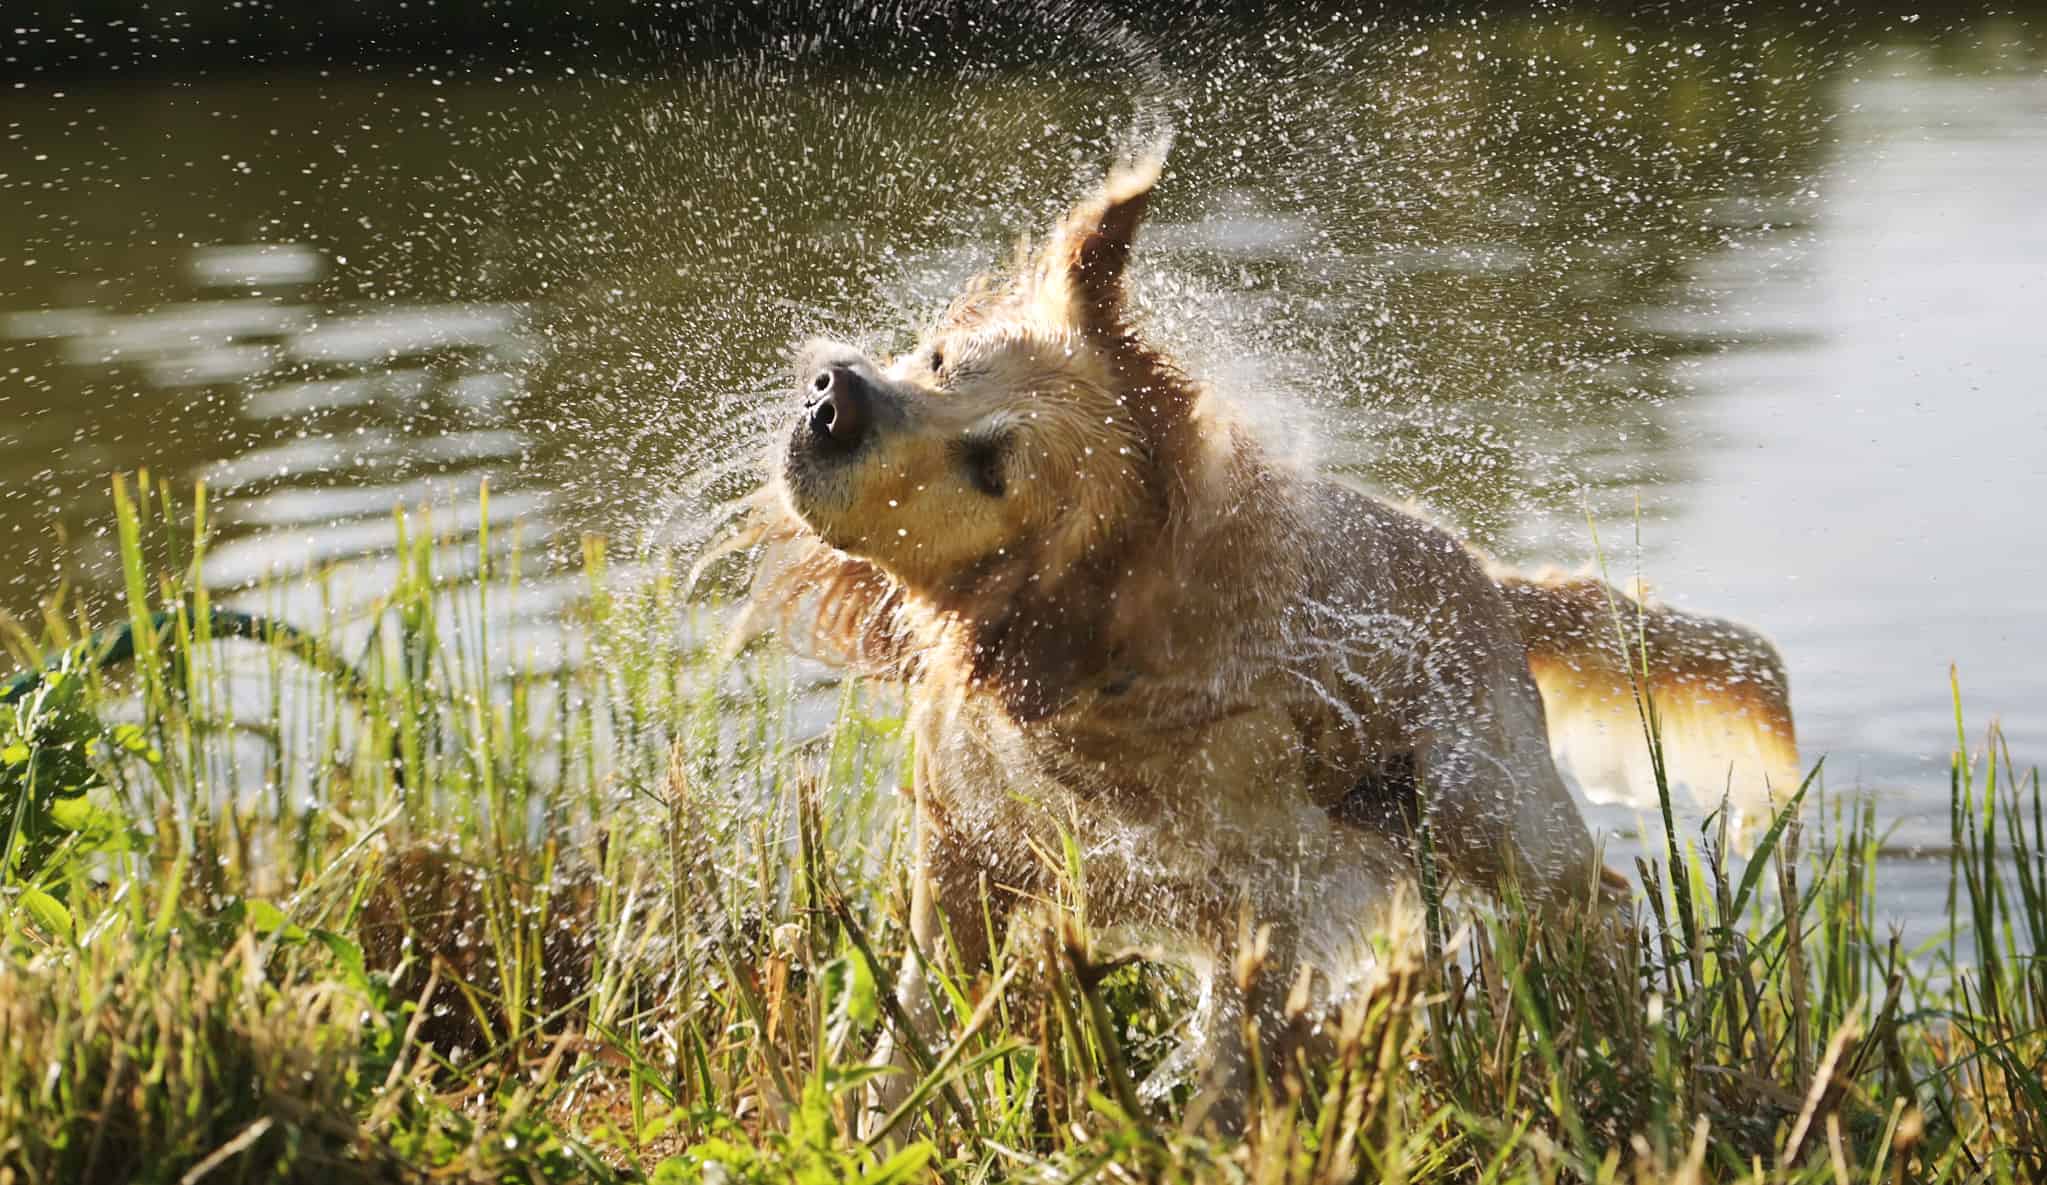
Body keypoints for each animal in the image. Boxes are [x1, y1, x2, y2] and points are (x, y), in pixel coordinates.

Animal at [732, 153, 1793, 1129]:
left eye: (990, 466)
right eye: (940, 357)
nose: (833, 396)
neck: (1095, 674)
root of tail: (1483, 573)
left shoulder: (1269, 901)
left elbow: (1230, 1057)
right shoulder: (959, 860)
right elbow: (908, 1026)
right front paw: (877, 1120)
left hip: (1491, 808)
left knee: (1601, 900)